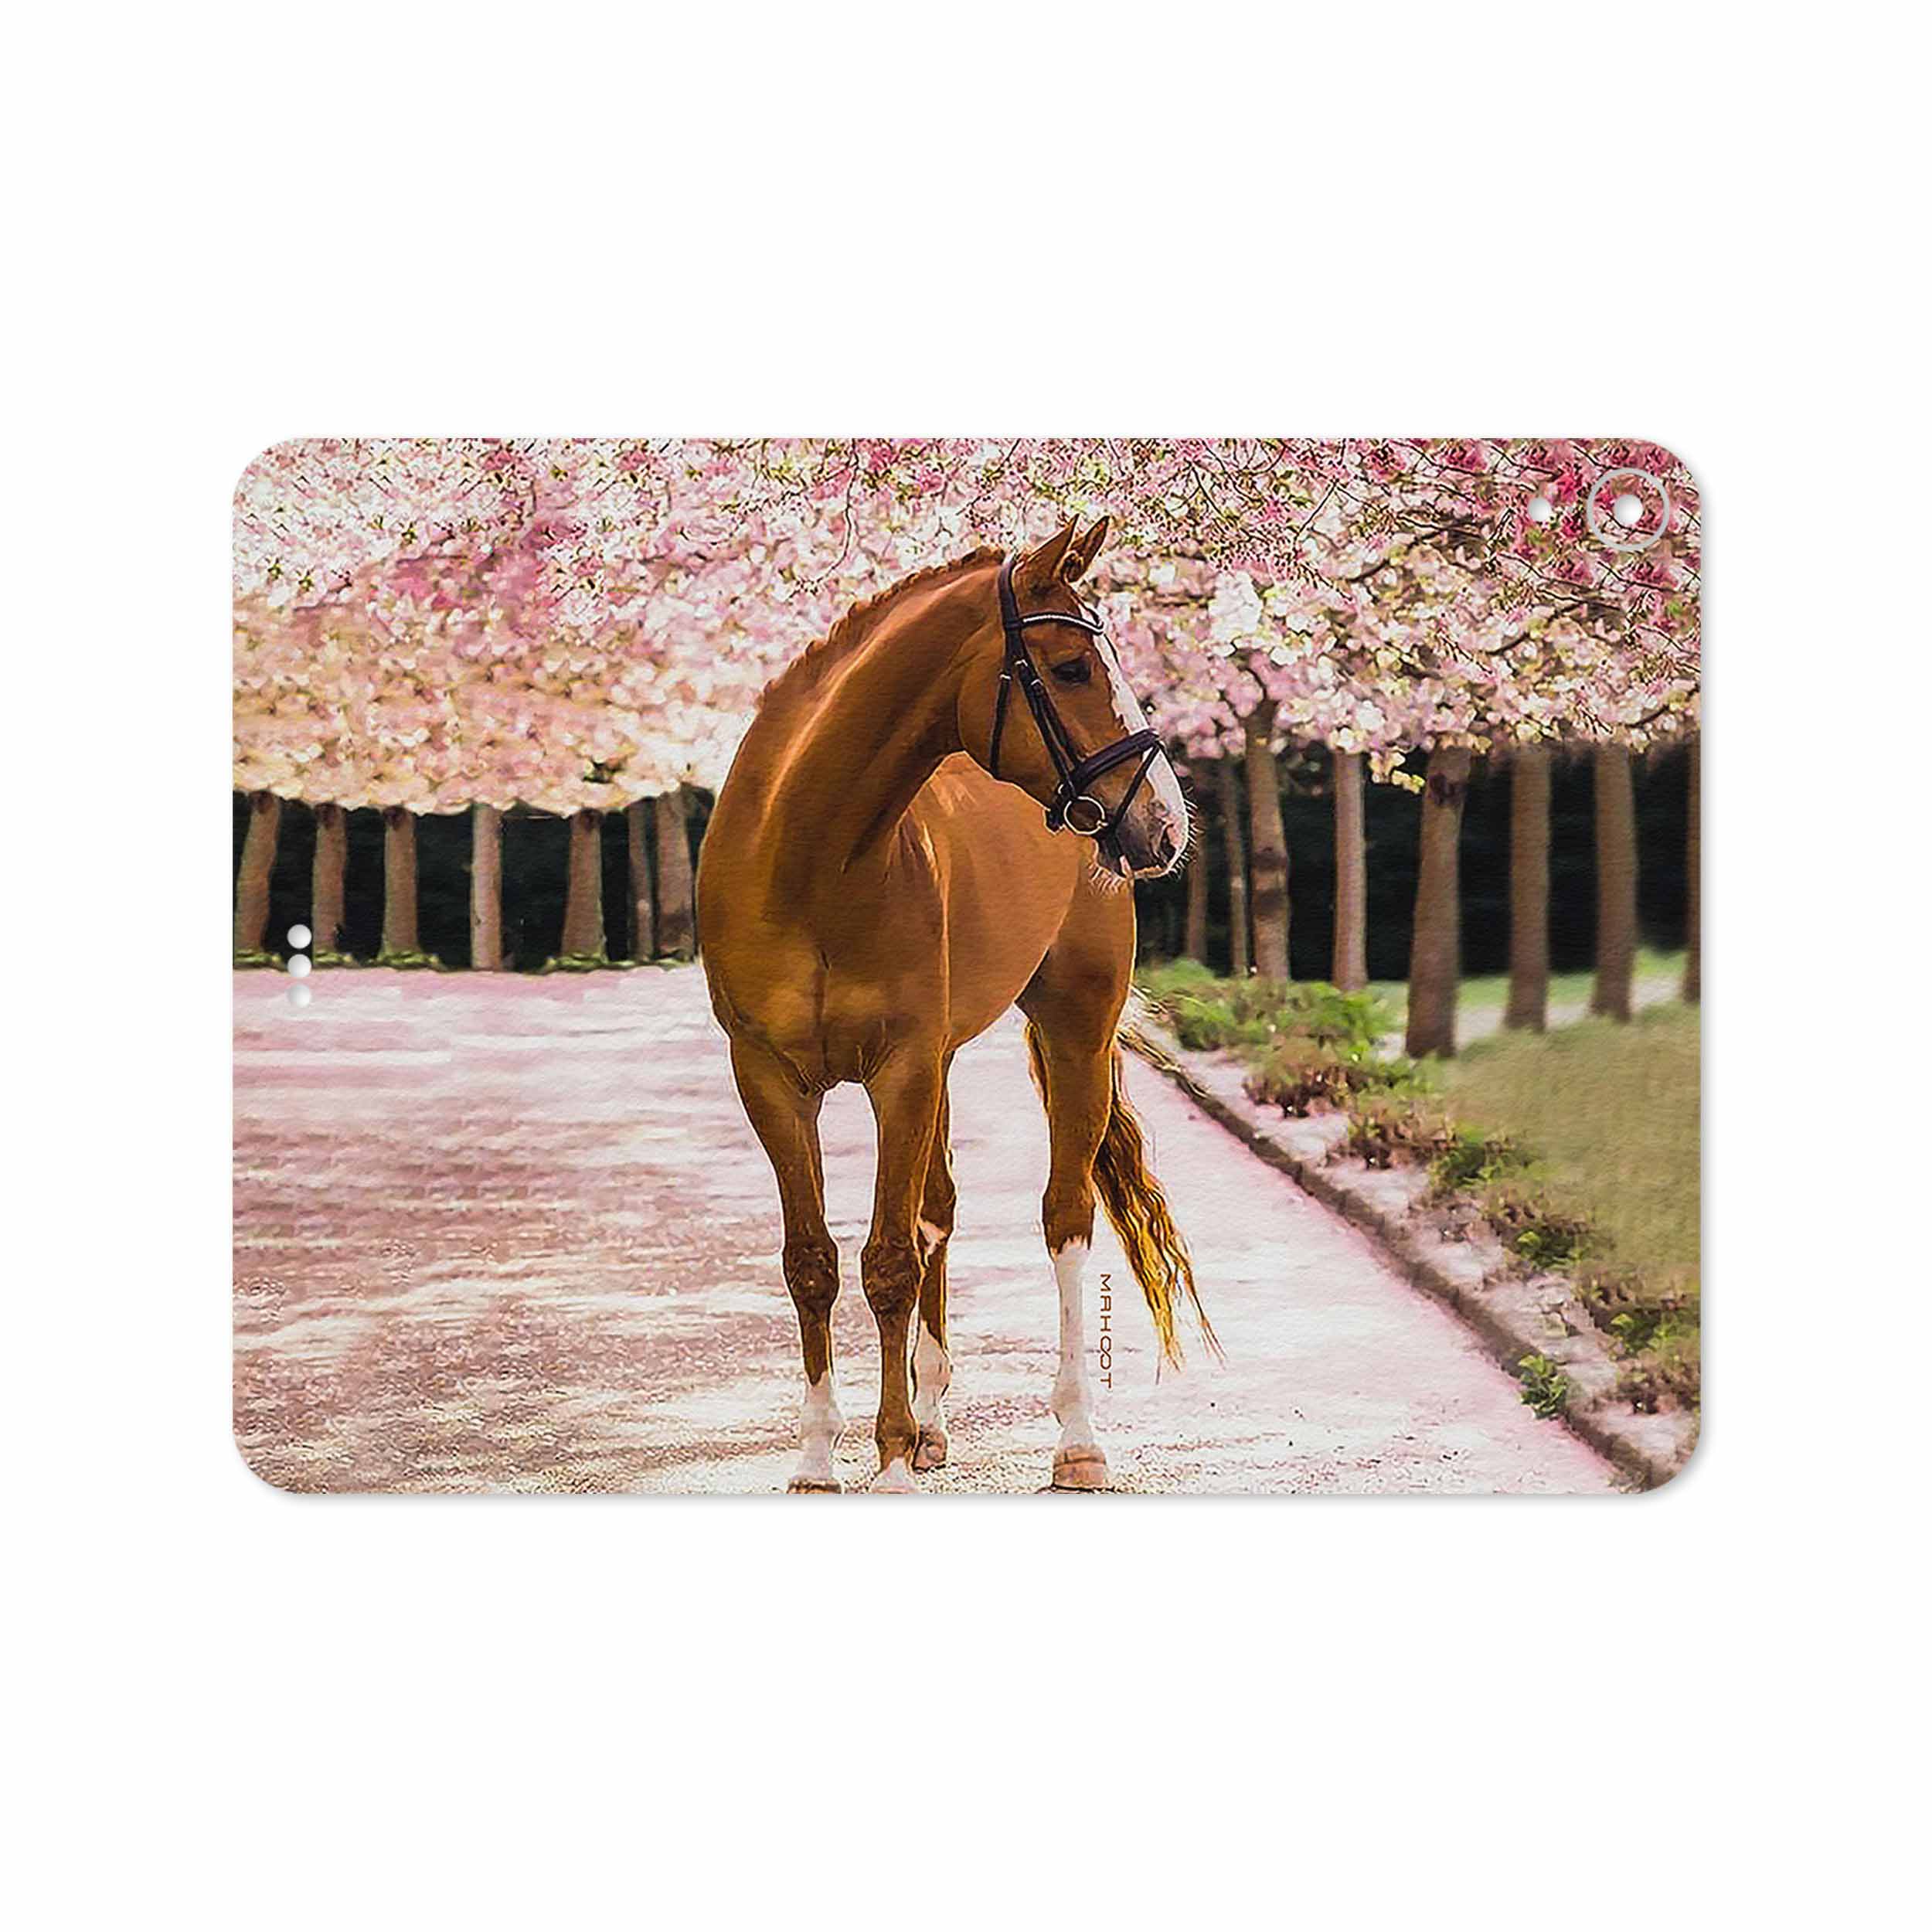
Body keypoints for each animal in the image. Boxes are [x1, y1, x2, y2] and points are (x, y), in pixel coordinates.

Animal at [697, 517, 1215, 1492]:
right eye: (1071, 668)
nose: (1164, 824)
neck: (810, 860)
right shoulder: (771, 1080)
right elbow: (813, 1260)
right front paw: (821, 1456)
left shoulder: (899, 1070)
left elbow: (888, 1260)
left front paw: (890, 1459)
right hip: (937, 1064)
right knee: (938, 1208)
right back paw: (934, 1422)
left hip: (1073, 1031)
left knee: (1063, 1216)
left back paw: (1074, 1440)